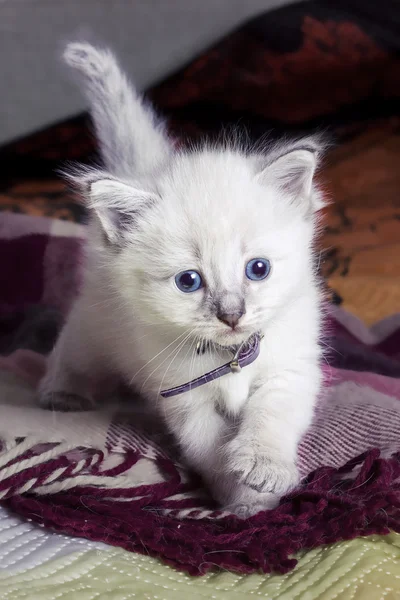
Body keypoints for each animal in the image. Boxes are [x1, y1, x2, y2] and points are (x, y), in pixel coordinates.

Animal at [37, 44, 326, 516]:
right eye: (189, 281)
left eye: (258, 269)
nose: (232, 313)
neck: (230, 358)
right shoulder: (184, 398)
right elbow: (212, 450)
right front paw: (241, 501)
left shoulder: (290, 371)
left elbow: (272, 420)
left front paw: (263, 473)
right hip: (95, 324)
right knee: (72, 351)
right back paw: (62, 393)